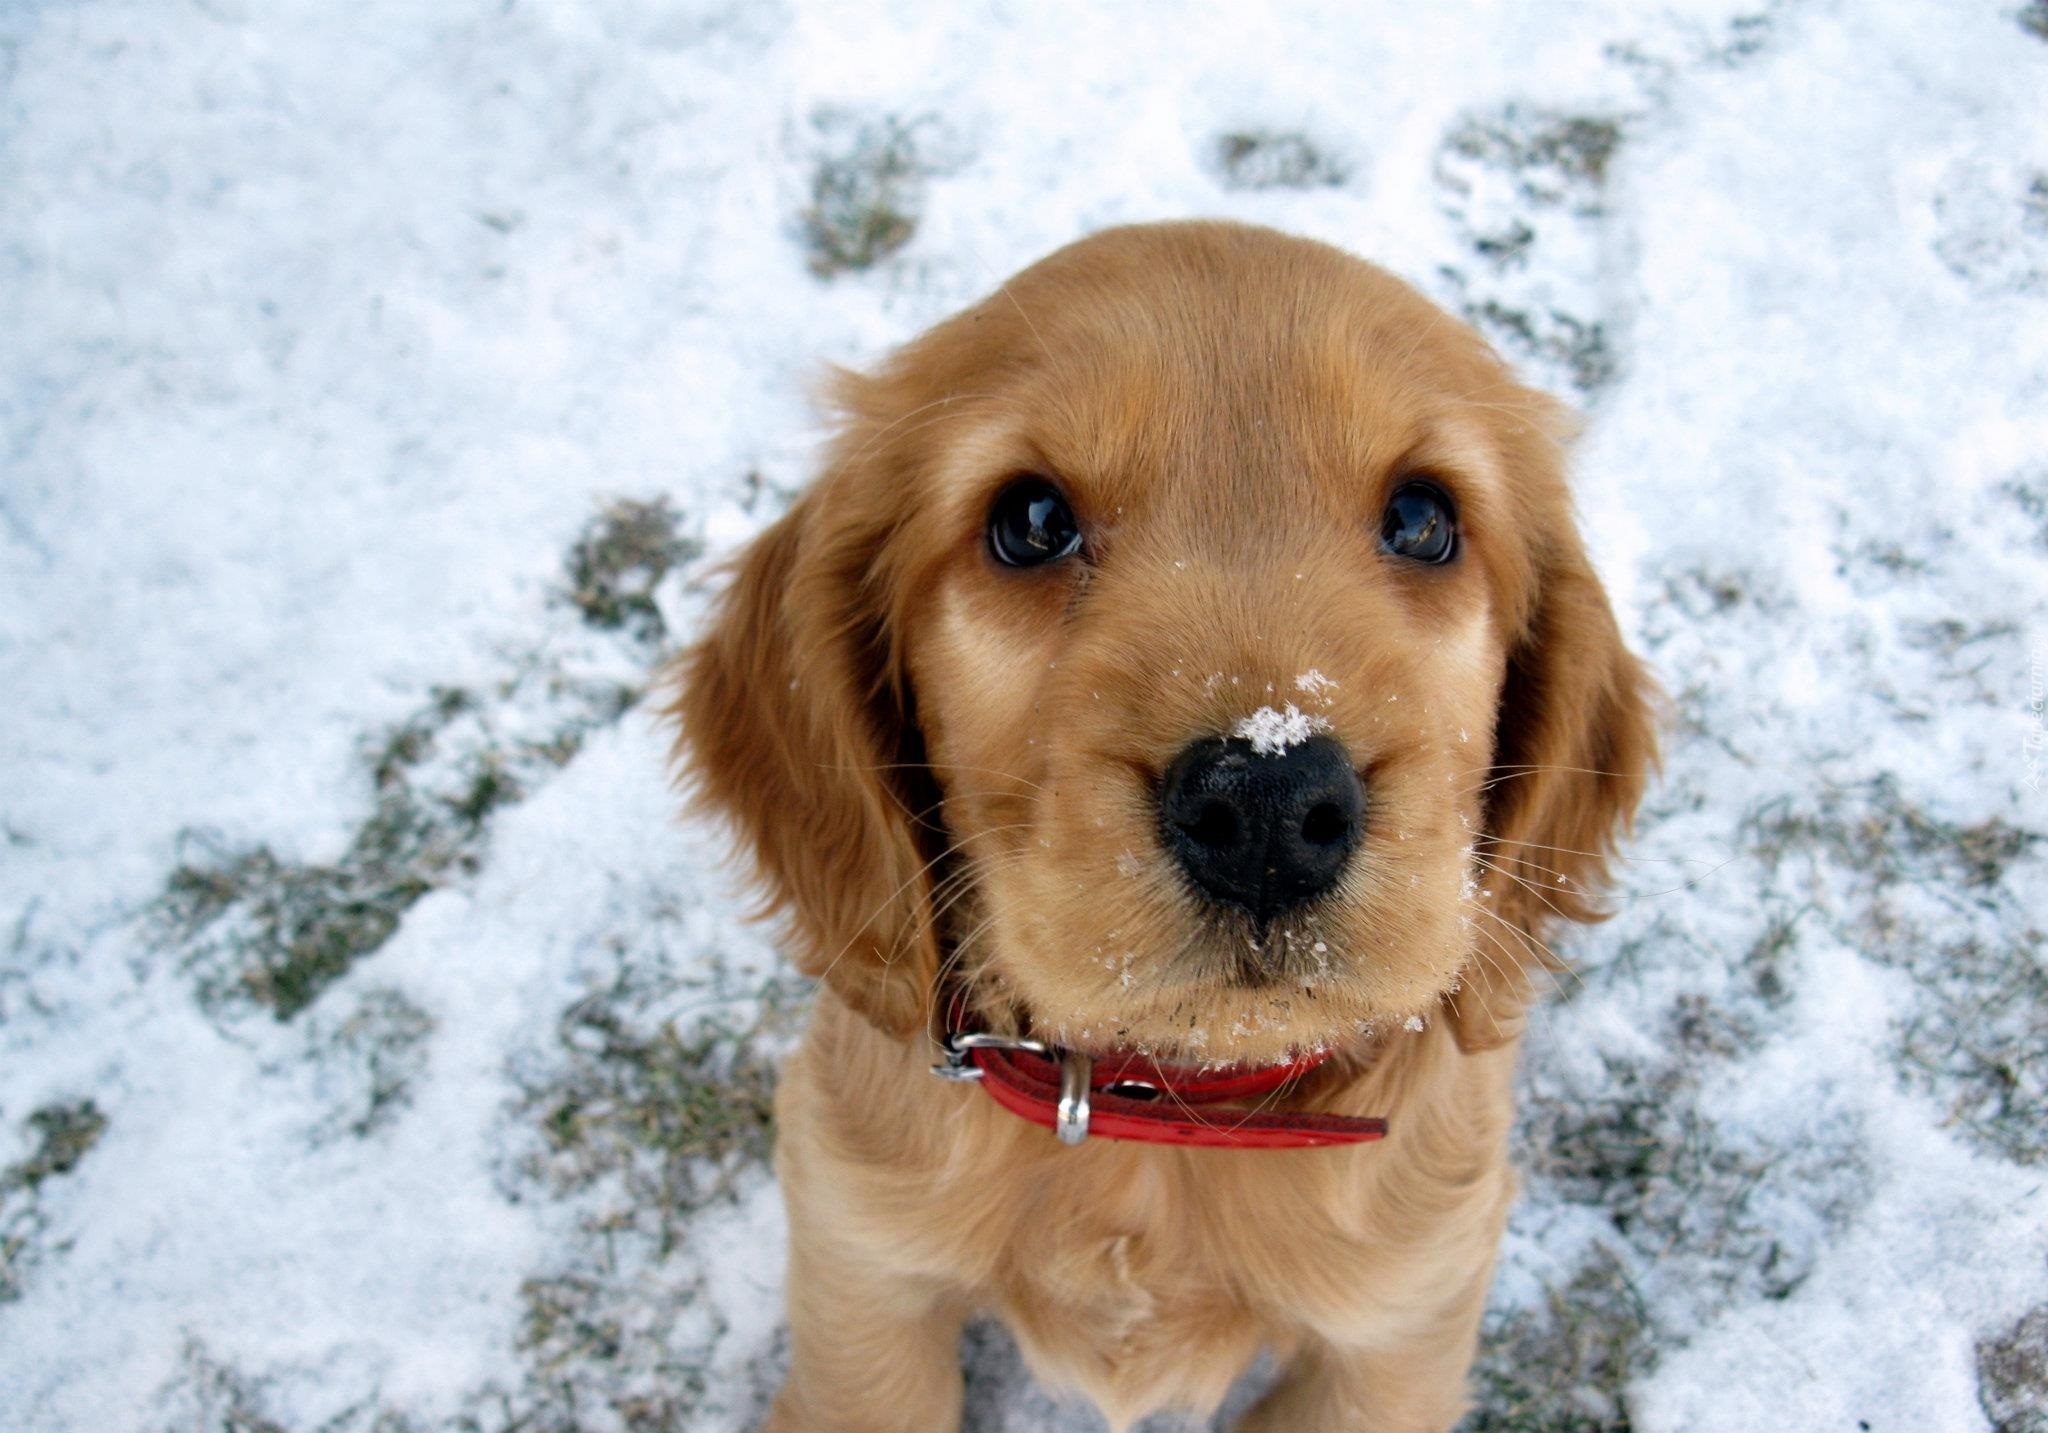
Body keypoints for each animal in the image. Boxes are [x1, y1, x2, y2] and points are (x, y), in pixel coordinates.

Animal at [671, 218, 1646, 1424]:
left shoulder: (1399, 1325)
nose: (1267, 803)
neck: (1162, 1107)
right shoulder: (861, 1258)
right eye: (1031, 520)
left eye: (1424, 520)